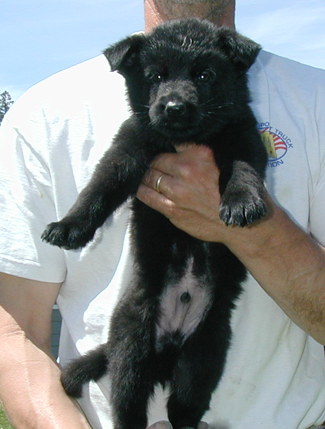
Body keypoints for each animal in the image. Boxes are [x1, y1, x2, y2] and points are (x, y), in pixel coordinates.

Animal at [41, 18, 268, 426]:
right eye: (155, 76)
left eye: (206, 75)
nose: (175, 107)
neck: (185, 141)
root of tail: (168, 347)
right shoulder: (129, 147)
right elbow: (98, 188)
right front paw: (69, 226)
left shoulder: (242, 135)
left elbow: (243, 168)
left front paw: (242, 202)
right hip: (132, 346)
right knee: (127, 404)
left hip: (205, 353)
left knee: (184, 405)